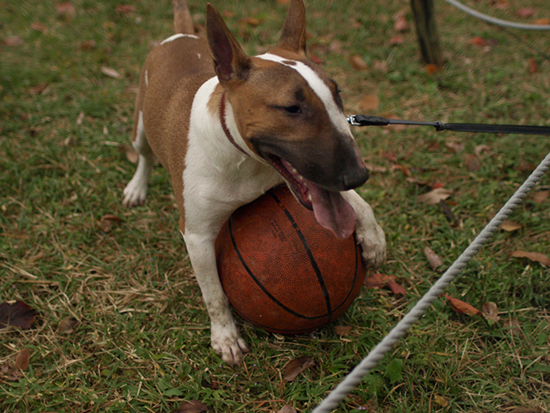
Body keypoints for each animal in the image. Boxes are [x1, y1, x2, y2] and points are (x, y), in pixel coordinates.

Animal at [123, 1, 386, 366]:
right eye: (292, 108)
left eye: (338, 95)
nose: (359, 174)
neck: (242, 159)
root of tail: (181, 34)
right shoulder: (197, 235)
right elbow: (214, 294)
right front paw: (226, 337)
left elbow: (356, 201)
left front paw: (373, 238)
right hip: (141, 126)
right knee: (144, 155)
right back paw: (137, 187)